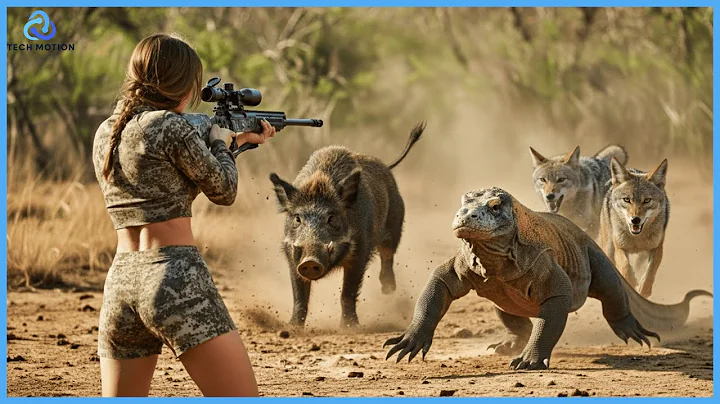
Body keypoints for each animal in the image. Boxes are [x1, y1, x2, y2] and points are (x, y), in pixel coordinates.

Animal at [269, 122, 426, 328]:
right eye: (297, 218)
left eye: (331, 218)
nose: (310, 261)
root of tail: (385, 166)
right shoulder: (292, 255)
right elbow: (299, 296)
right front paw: (292, 328)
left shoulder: (360, 250)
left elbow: (348, 292)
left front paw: (350, 327)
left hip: (395, 223)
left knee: (388, 253)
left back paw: (388, 289)